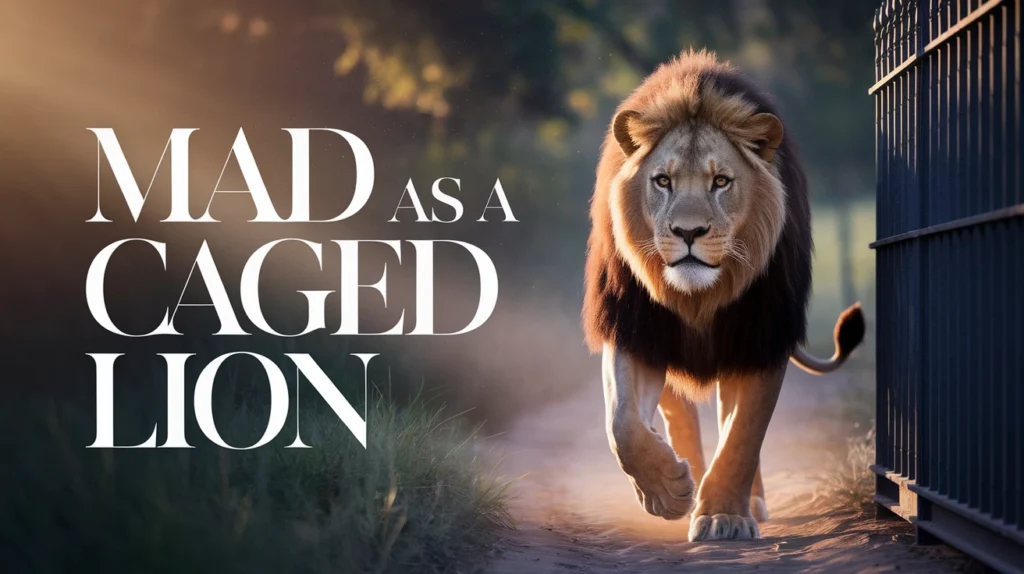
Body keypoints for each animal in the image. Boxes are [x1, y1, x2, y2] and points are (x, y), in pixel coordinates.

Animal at [582, 50, 865, 541]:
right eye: (662, 181)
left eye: (721, 182)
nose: (688, 232)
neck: (697, 297)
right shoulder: (635, 326)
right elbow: (622, 422)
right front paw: (666, 491)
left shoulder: (761, 335)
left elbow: (744, 434)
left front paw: (725, 517)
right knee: (676, 415)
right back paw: (685, 480)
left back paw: (742, 499)